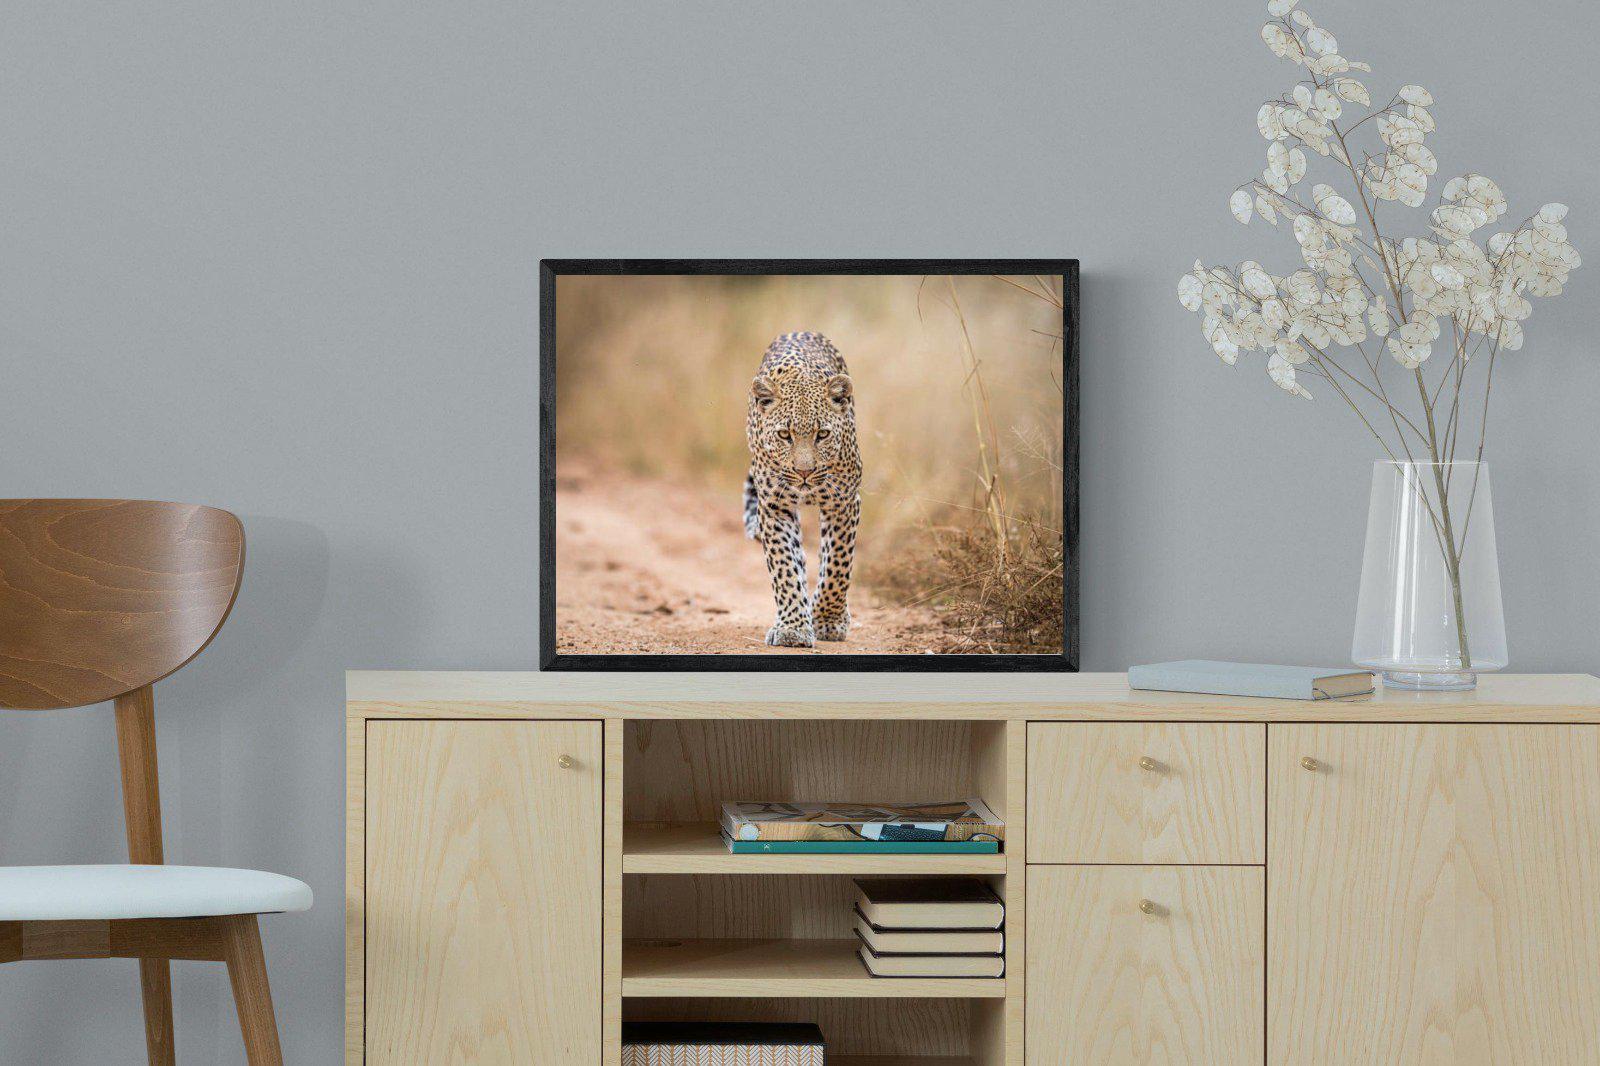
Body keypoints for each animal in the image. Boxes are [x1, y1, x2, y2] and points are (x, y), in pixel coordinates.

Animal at [743, 331, 862, 648]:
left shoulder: (844, 502)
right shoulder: (775, 507)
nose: (804, 472)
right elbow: (784, 566)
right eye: (785, 435)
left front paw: (829, 620)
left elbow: (837, 565)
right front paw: (793, 628)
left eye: (823, 434)